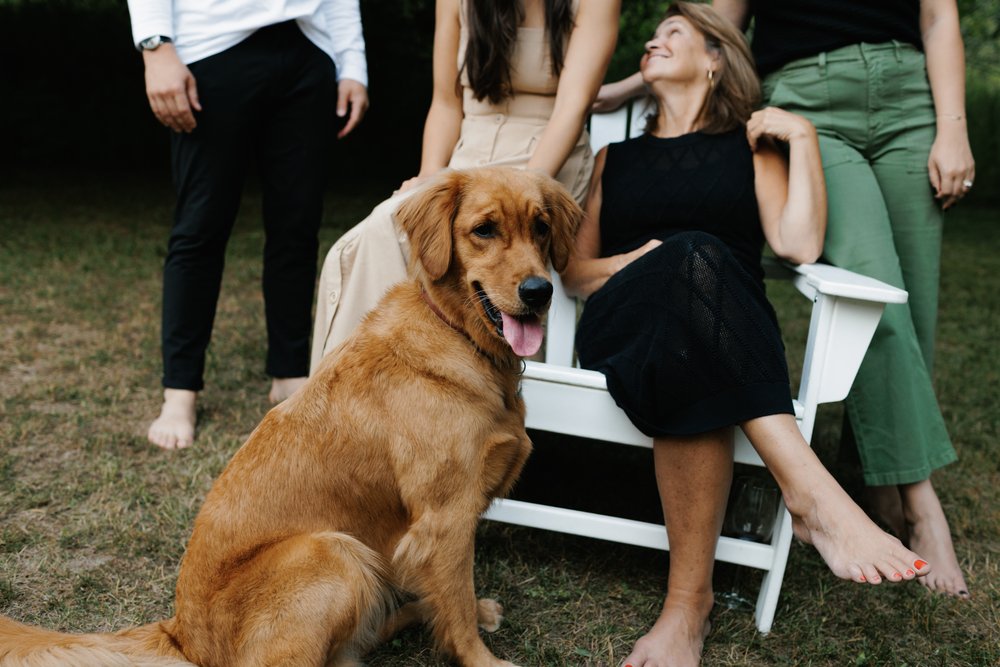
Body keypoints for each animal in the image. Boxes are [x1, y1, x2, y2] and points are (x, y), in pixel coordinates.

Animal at [0, 168, 584, 667]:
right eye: (484, 230)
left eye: (540, 227)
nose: (538, 292)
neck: (456, 334)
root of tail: (180, 633)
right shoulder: (445, 519)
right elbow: (456, 608)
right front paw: (484, 656)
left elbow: (456, 599)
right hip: (332, 551)